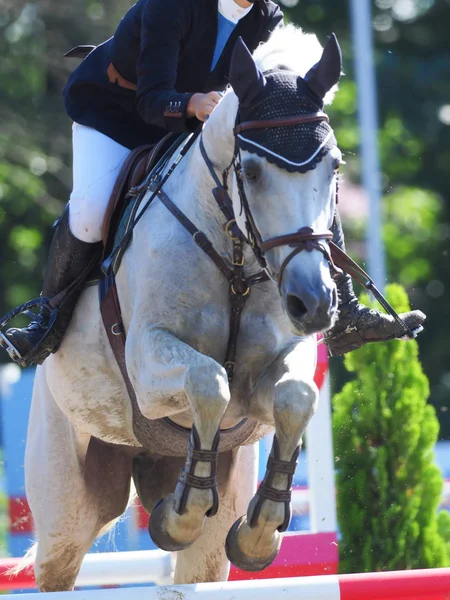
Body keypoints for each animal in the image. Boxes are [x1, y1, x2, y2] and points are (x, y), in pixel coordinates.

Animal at [23, 24, 342, 592]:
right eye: (251, 172)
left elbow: (296, 397)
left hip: (204, 537)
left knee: (203, 559)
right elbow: (208, 382)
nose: (313, 303)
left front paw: (259, 533)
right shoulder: (149, 364)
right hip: (66, 505)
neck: (235, 253)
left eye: (334, 167)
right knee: (58, 561)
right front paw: (181, 514)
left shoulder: (273, 371)